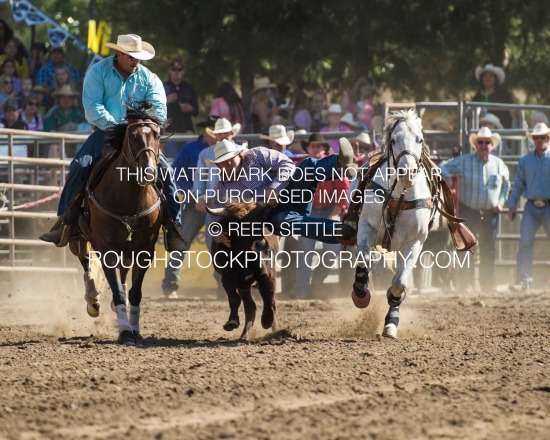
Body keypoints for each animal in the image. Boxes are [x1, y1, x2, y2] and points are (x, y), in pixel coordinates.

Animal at [69, 101, 165, 346]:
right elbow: (118, 291)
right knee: (84, 260)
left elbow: (134, 293)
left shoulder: (145, 249)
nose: (149, 171)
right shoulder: (107, 249)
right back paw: (93, 301)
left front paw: (136, 331)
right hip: (80, 236)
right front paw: (125, 333)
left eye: (157, 135)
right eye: (131, 135)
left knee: (122, 272)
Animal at [352, 109, 438, 336]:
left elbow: (399, 283)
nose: (407, 173)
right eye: (393, 139)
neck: (399, 195)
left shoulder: (414, 242)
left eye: (420, 139)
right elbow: (364, 258)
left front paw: (391, 321)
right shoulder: (366, 227)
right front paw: (360, 293)